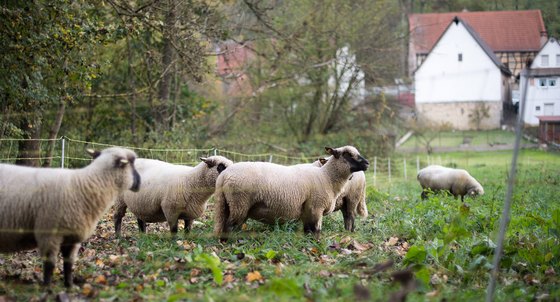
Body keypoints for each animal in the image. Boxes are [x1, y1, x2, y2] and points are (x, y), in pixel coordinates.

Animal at [0, 147, 140, 288]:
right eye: (132, 163)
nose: (140, 182)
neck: (83, 186)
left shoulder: (72, 236)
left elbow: (68, 263)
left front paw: (69, 285)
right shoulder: (49, 233)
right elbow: (50, 264)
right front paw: (47, 287)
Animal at [212, 146, 370, 241]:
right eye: (347, 154)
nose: (367, 163)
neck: (327, 177)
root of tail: (224, 175)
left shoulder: (308, 210)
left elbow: (308, 230)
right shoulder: (316, 207)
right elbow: (316, 230)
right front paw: (317, 245)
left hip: (232, 204)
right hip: (239, 203)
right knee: (229, 225)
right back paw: (229, 243)